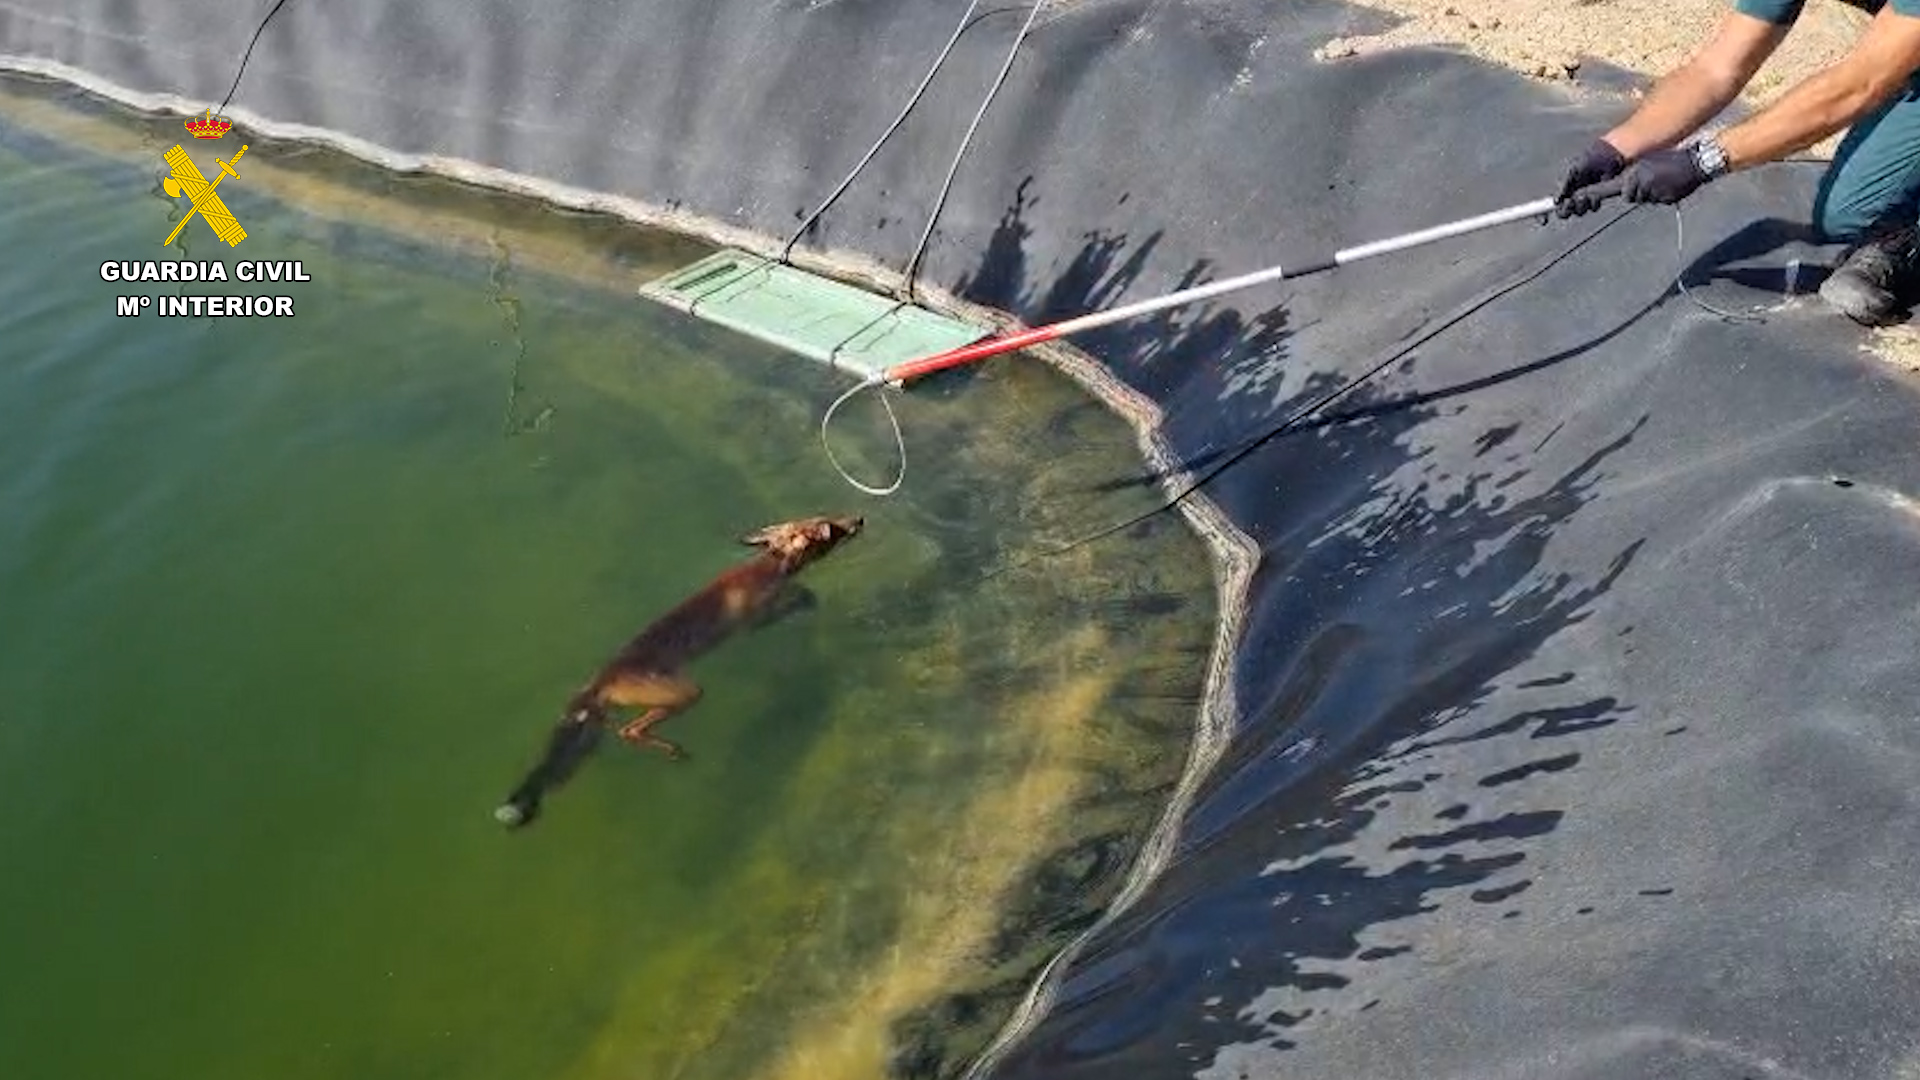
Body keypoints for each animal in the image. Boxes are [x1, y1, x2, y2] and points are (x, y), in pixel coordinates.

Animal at [493, 513, 864, 829]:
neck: (769, 565)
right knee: (629, 731)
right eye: (831, 529)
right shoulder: (754, 619)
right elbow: (801, 598)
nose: (859, 518)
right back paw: (672, 750)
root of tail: (601, 678)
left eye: (830, 519)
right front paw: (805, 601)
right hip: (684, 693)